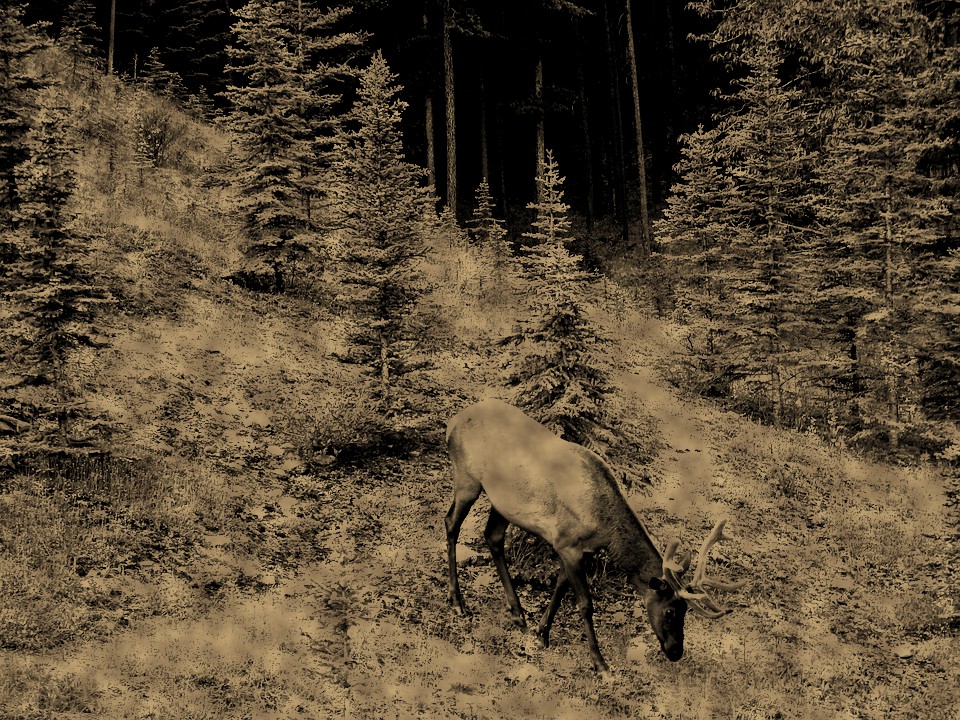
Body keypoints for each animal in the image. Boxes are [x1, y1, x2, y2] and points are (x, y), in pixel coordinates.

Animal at [446, 400, 748, 676]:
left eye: (686, 610)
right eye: (670, 611)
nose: (676, 652)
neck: (605, 531)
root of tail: (453, 422)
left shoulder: (579, 549)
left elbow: (559, 587)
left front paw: (542, 633)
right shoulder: (567, 544)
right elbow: (585, 604)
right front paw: (600, 663)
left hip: (503, 503)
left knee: (493, 537)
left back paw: (518, 613)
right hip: (466, 480)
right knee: (451, 524)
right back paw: (458, 603)